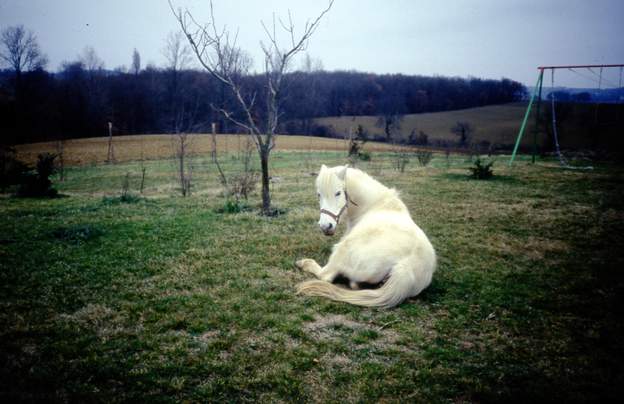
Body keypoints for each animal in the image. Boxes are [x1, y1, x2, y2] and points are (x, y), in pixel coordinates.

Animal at [294, 164, 436, 310]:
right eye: (319, 194)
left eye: (338, 193)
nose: (325, 226)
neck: (375, 205)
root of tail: (406, 268)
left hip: (342, 249)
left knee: (325, 275)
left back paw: (303, 263)